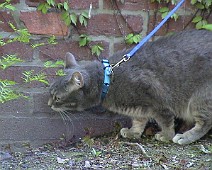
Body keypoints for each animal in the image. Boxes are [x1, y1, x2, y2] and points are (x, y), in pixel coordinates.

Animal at [48, 29, 212, 144]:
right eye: (50, 93)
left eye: (57, 97)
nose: (49, 104)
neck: (108, 79)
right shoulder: (140, 107)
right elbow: (139, 121)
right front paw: (134, 132)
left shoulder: (158, 103)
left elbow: (165, 122)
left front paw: (166, 136)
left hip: (199, 99)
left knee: (205, 122)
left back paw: (186, 137)